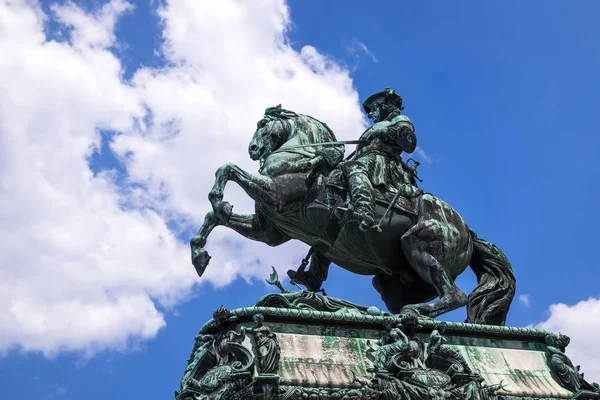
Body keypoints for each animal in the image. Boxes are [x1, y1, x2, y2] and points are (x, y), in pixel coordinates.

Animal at [193, 104, 516, 324]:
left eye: (262, 123)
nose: (253, 149)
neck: (301, 155)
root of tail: (467, 231)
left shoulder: (276, 195)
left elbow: (227, 169)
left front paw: (217, 198)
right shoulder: (269, 230)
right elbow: (217, 217)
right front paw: (199, 253)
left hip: (419, 244)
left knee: (455, 294)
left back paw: (415, 312)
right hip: (389, 283)